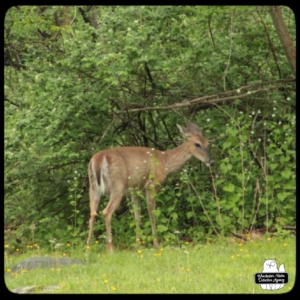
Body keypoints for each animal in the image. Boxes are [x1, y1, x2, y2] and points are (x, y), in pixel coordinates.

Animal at [86, 120, 213, 252]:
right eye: (197, 144)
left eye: (208, 143)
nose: (211, 161)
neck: (165, 162)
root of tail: (99, 159)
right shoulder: (152, 185)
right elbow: (152, 215)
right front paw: (156, 244)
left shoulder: (135, 190)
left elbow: (137, 218)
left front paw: (137, 245)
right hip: (118, 185)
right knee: (106, 212)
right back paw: (110, 250)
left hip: (93, 187)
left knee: (92, 213)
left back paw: (88, 250)